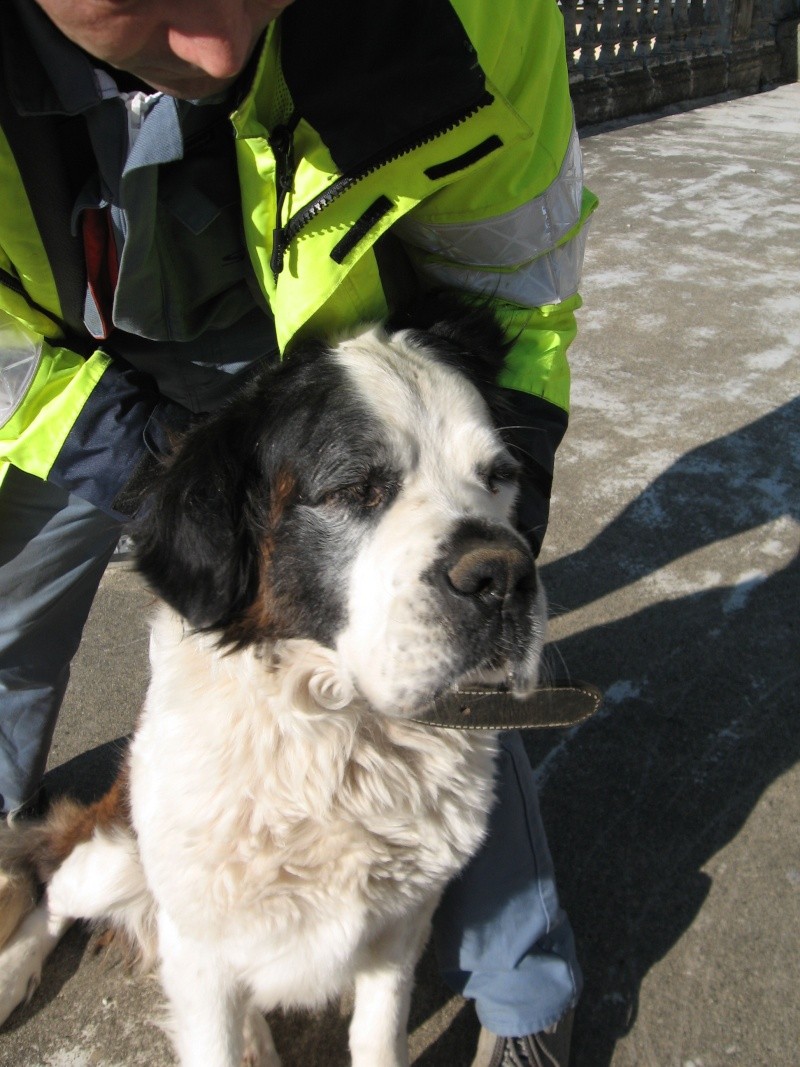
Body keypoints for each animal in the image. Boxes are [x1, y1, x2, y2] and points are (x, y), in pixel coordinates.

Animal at [0, 294, 550, 1067]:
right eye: (358, 490)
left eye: (499, 476)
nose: (504, 576)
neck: (339, 741)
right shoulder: (198, 952)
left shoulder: (398, 933)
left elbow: (377, 1036)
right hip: (117, 852)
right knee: (55, 884)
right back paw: (12, 972)